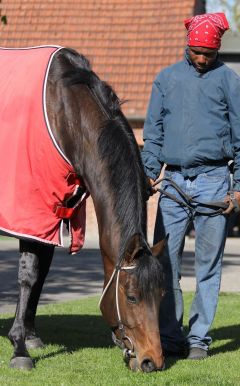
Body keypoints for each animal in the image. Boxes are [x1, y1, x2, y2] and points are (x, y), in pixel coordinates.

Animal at [0, 45, 165, 370]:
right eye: (132, 297)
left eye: (161, 294)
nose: (152, 361)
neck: (64, 112)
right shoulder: (32, 213)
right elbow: (29, 275)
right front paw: (19, 348)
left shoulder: (53, 215)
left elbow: (42, 273)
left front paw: (31, 336)